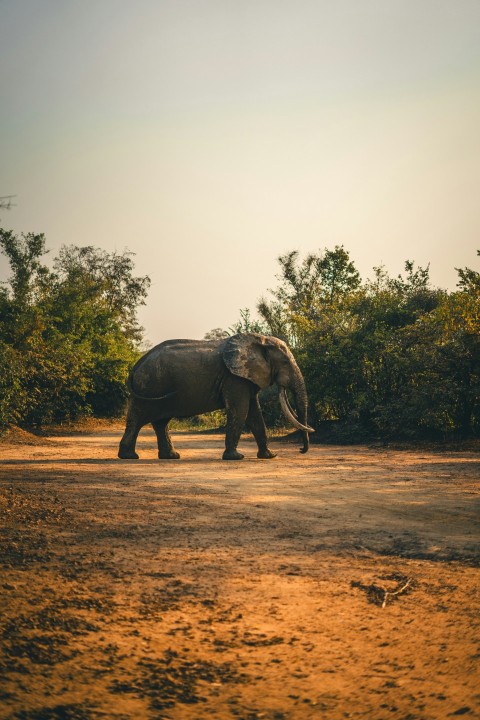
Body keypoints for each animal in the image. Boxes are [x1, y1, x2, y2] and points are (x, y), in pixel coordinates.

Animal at [117, 332, 314, 462]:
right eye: (285, 362)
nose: (300, 450)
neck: (259, 340)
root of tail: (138, 363)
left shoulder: (244, 378)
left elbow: (254, 414)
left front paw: (269, 456)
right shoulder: (234, 378)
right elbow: (241, 411)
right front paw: (236, 457)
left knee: (161, 422)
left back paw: (171, 456)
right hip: (149, 384)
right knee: (138, 418)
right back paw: (129, 457)